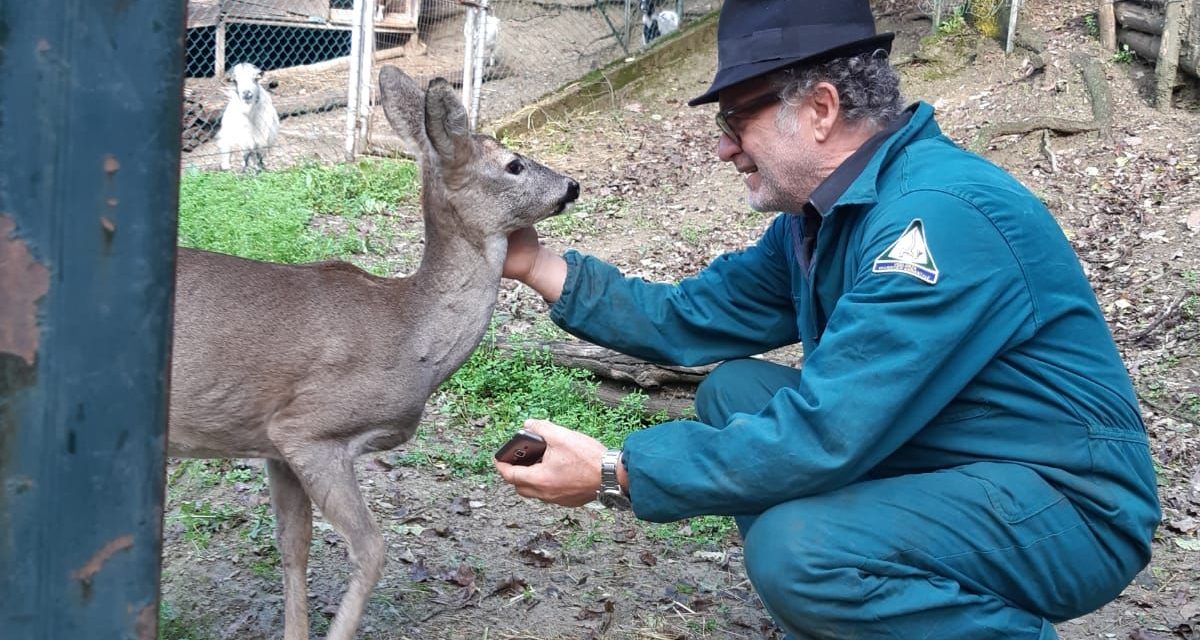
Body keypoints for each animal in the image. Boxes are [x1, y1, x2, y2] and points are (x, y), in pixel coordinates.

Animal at [169, 66, 580, 638]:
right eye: (513, 164)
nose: (572, 185)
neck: (412, 339)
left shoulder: (273, 447)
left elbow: (293, 547)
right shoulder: (307, 429)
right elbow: (371, 549)